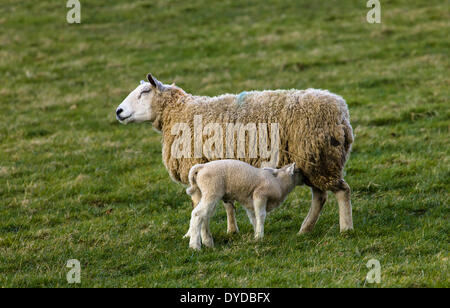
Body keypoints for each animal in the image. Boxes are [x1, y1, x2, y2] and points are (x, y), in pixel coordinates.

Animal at [116, 73, 356, 235]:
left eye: (144, 92)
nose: (118, 111)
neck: (179, 113)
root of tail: (341, 112)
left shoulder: (197, 166)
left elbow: (198, 207)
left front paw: (199, 234)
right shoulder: (219, 167)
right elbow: (227, 203)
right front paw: (232, 230)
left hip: (321, 159)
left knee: (341, 191)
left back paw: (346, 228)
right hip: (315, 161)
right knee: (320, 196)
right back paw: (305, 229)